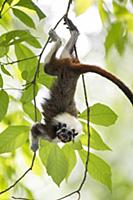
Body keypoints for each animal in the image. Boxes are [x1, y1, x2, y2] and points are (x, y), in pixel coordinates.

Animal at [30, 18, 133, 152]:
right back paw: (59, 40)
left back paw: (74, 33)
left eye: (70, 134)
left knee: (62, 55)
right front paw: (34, 146)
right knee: (48, 68)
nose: (64, 136)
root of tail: (75, 68)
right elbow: (36, 127)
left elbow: (36, 127)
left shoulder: (54, 135)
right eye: (65, 131)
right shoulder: (51, 133)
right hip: (63, 65)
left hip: (66, 62)